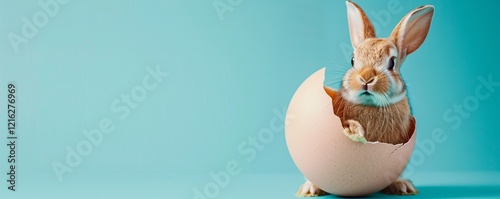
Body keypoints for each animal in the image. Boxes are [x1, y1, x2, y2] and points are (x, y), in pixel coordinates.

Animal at [296, 0, 434, 197]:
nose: (366, 78)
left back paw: (402, 186)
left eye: (392, 63)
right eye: (353, 60)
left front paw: (403, 185)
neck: (370, 105)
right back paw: (310, 188)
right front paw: (356, 132)